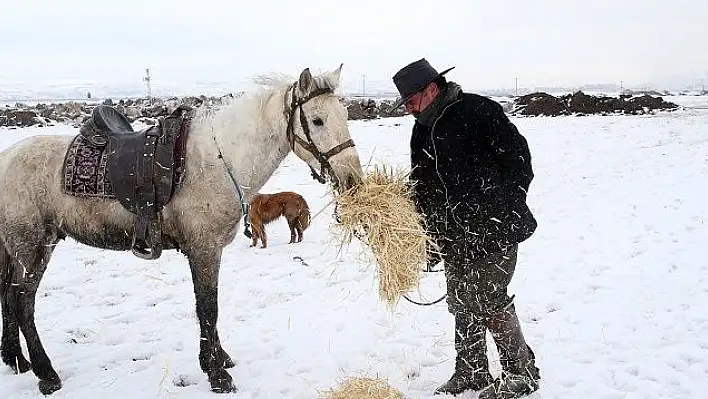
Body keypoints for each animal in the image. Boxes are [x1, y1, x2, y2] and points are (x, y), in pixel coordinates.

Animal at [0, 64, 362, 396]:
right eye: (317, 120)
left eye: (345, 114)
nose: (352, 179)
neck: (219, 160)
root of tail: (6, 157)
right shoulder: (204, 249)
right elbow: (208, 308)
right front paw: (217, 374)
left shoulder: (208, 251)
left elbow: (208, 307)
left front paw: (219, 359)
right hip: (31, 247)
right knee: (23, 303)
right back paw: (46, 374)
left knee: (8, 297)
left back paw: (16, 360)